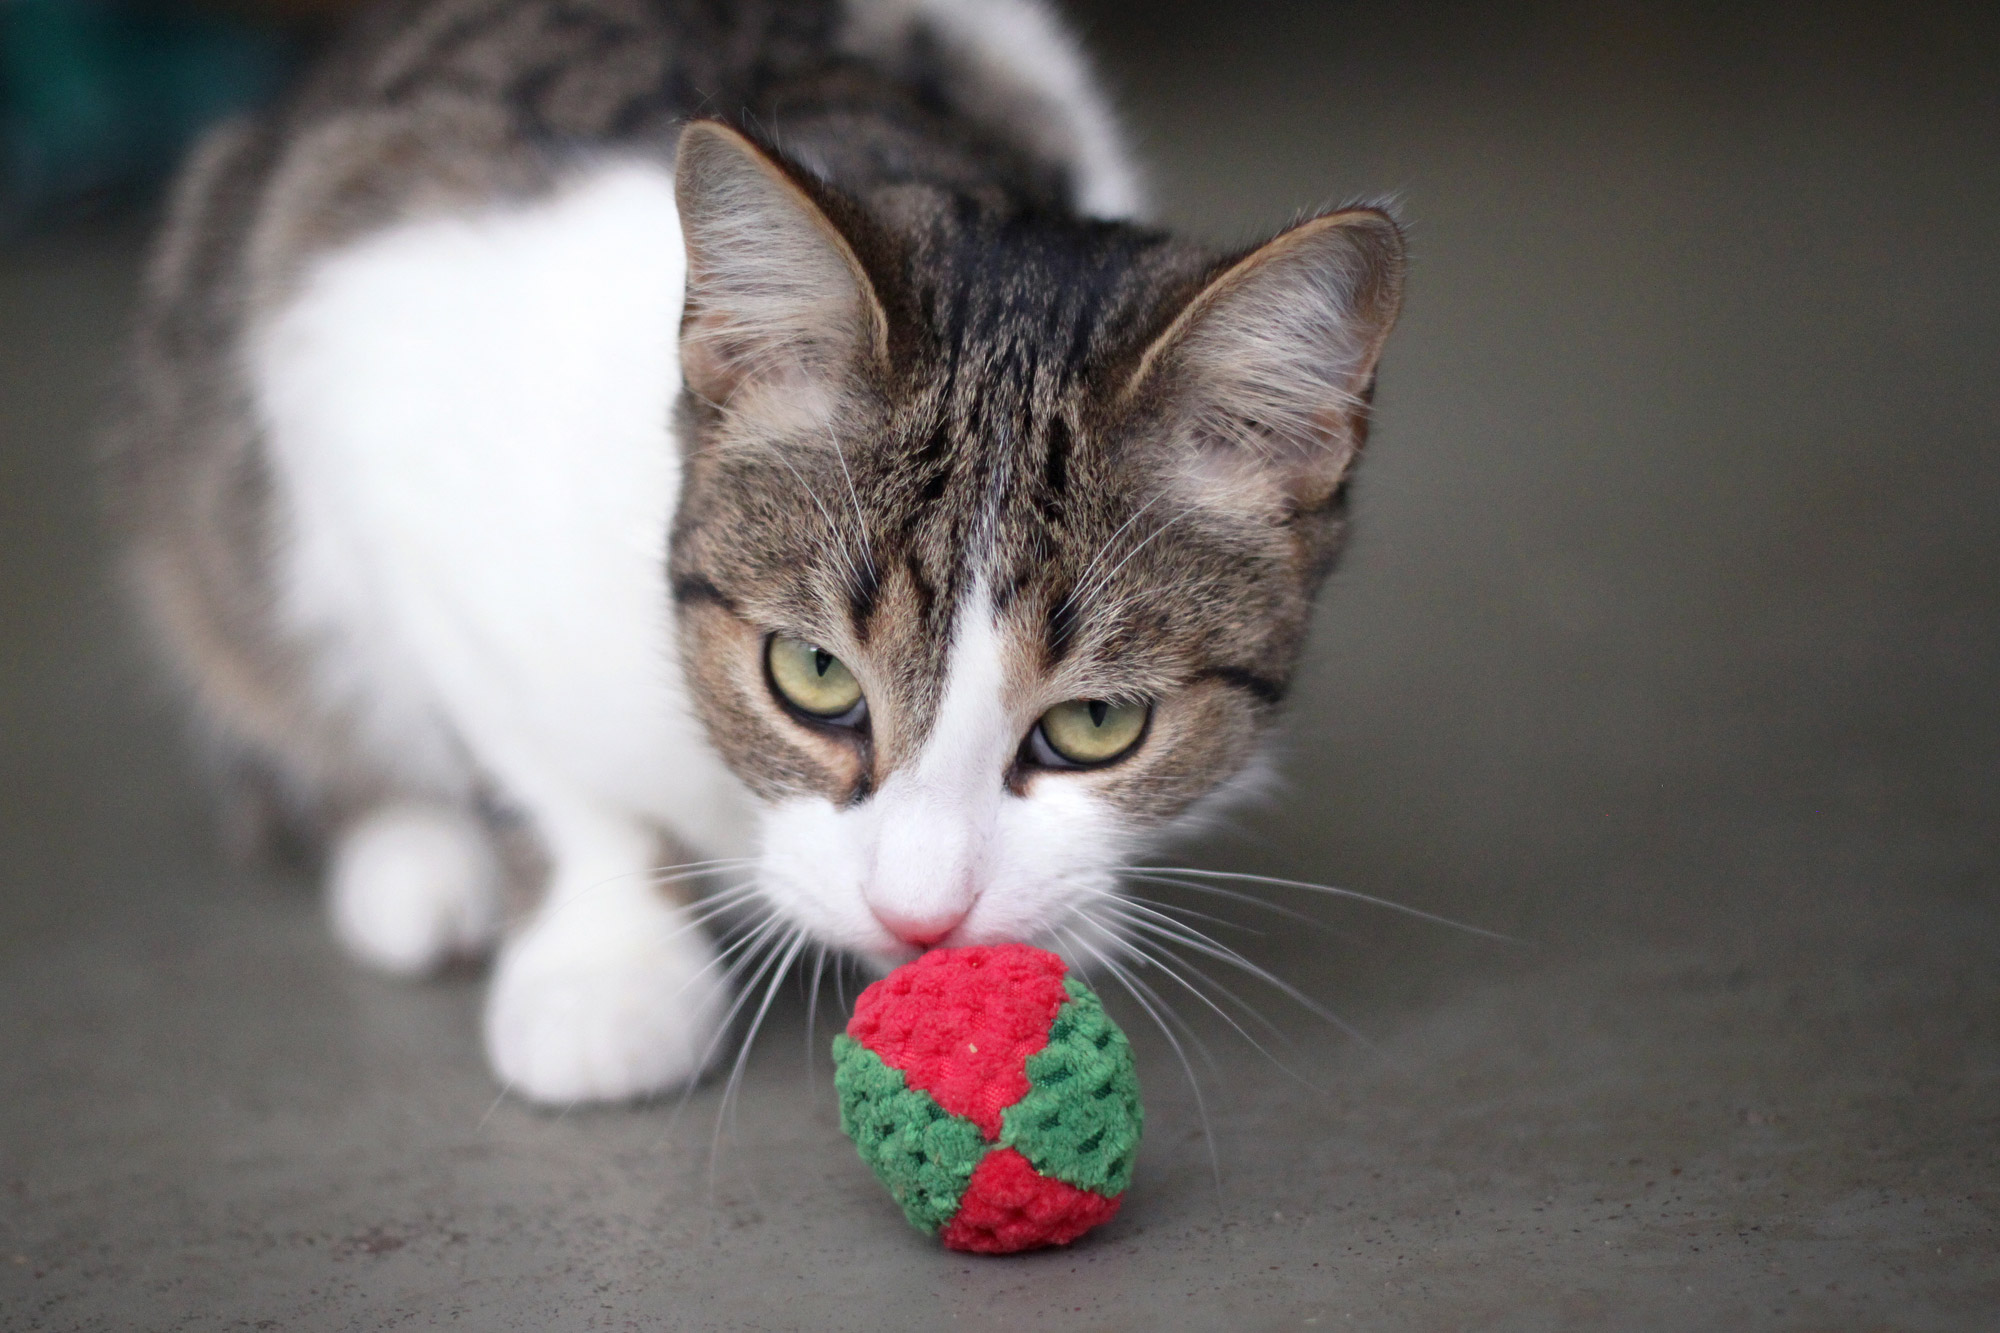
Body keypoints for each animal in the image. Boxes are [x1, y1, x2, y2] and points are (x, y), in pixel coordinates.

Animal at [101, 0, 1400, 1096]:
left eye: (1095, 725)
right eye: (810, 673)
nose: (922, 918)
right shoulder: (361, 360)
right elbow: (537, 761)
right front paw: (603, 956)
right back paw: (409, 850)